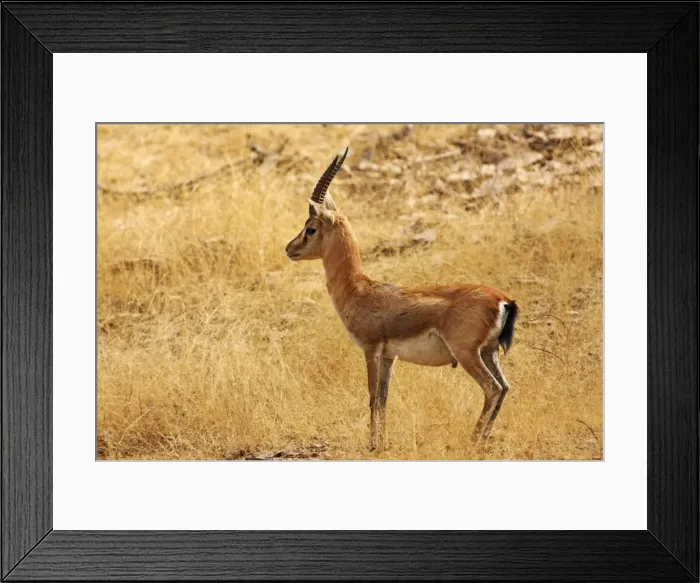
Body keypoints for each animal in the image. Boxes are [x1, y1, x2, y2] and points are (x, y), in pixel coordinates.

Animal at [285, 147, 518, 450]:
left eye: (310, 228)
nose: (289, 248)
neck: (359, 290)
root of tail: (502, 299)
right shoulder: (389, 357)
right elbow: (384, 399)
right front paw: (382, 443)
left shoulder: (370, 349)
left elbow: (372, 397)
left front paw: (373, 445)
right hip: (489, 352)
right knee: (504, 387)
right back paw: (481, 442)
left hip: (467, 354)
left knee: (492, 388)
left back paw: (472, 442)